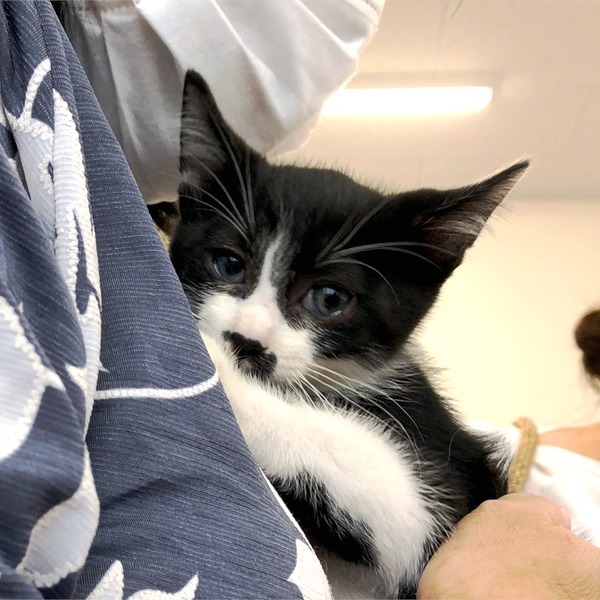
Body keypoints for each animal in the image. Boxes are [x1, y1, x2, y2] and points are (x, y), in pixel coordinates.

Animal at [169, 70, 527, 599]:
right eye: (229, 264)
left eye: (329, 298)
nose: (246, 340)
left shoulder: (446, 493)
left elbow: (376, 476)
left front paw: (215, 362)